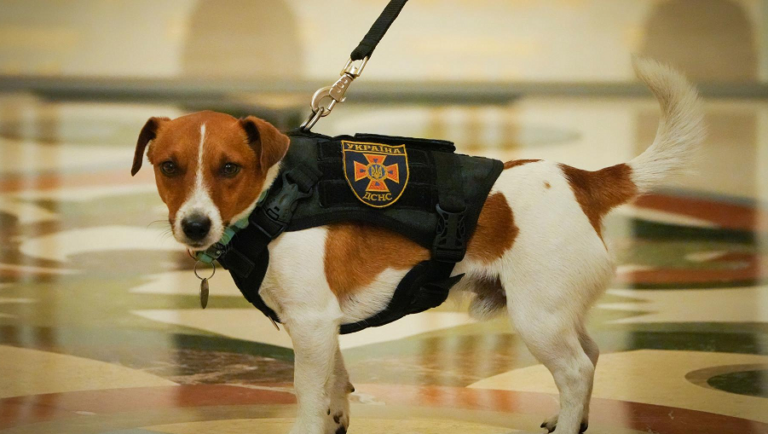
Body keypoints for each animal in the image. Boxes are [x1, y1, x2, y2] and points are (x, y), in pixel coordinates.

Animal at [130, 59, 704, 434]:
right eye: (168, 167)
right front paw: (339, 415)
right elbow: (336, 382)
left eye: (229, 168)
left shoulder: (311, 323)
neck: (275, 197)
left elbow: (308, 395)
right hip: (559, 311)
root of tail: (582, 179)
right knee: (590, 355)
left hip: (537, 318)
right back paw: (572, 419)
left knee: (577, 371)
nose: (195, 226)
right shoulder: (325, 327)